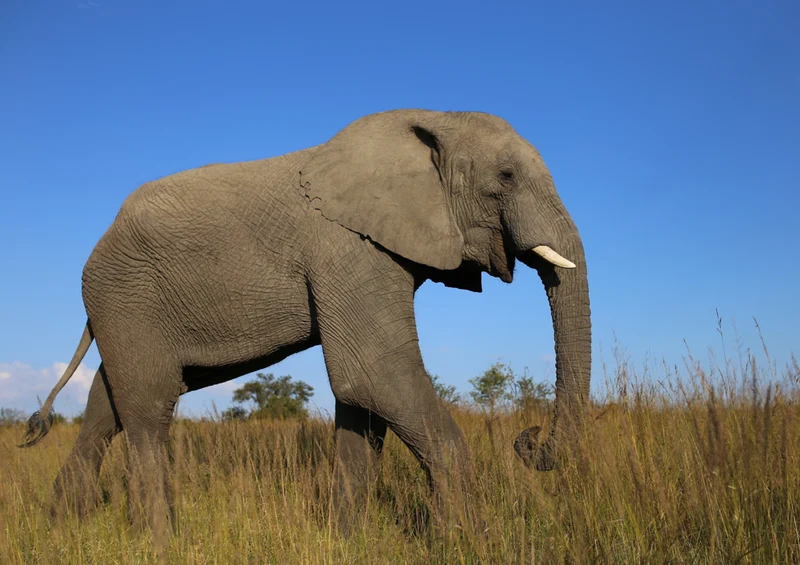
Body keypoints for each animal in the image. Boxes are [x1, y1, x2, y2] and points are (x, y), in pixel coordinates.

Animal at [19, 109, 591, 545]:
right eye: (507, 177)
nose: (529, 437)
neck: (432, 121)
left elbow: (365, 402)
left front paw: (347, 542)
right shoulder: (347, 248)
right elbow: (373, 376)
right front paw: (466, 543)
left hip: (127, 307)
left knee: (107, 403)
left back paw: (61, 528)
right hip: (125, 295)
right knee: (149, 405)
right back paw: (162, 543)